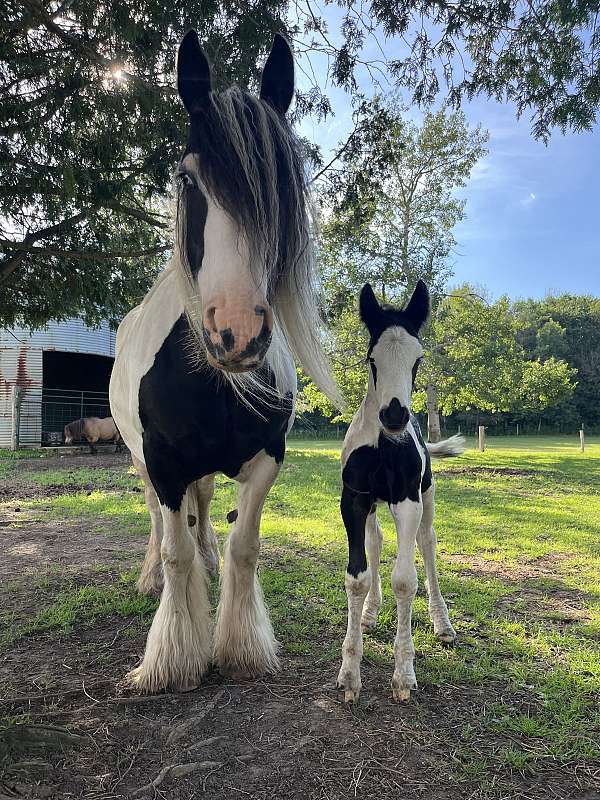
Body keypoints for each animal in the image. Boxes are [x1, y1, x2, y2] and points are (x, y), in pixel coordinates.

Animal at [109, 32, 340, 692]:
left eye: (282, 187)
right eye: (187, 180)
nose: (236, 332)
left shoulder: (265, 459)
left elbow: (242, 545)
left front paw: (238, 646)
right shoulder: (162, 462)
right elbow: (173, 548)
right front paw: (173, 657)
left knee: (203, 509)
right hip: (143, 464)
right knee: (162, 523)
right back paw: (152, 578)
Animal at [338, 280, 464, 700]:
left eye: (417, 360)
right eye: (371, 359)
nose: (394, 415)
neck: (382, 444)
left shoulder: (408, 501)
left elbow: (406, 580)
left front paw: (404, 673)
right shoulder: (354, 500)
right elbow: (357, 576)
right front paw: (349, 673)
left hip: (428, 496)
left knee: (427, 543)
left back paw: (443, 624)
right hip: (375, 505)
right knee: (376, 542)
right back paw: (369, 614)